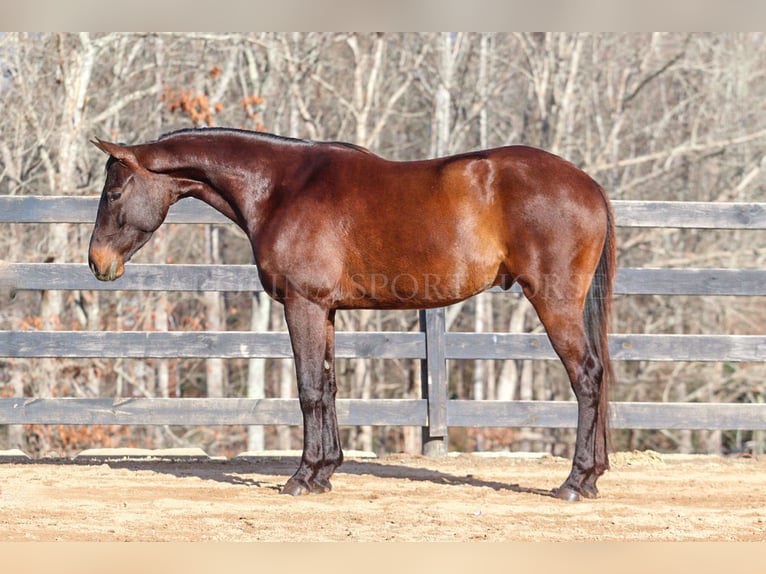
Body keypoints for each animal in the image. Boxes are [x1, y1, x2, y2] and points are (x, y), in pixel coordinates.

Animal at [88, 128, 616, 502]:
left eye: (113, 194)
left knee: (588, 377)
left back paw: (575, 482)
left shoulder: (302, 304)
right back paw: (591, 478)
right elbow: (328, 386)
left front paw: (301, 477)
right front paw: (324, 471)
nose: (97, 263)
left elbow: (308, 389)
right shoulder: (325, 311)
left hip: (554, 302)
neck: (281, 188)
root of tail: (588, 185)